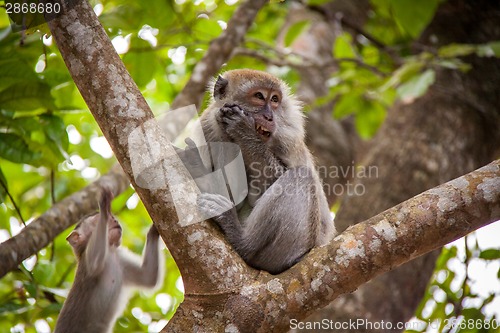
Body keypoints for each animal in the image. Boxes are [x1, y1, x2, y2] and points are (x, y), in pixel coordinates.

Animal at [55, 189, 163, 332]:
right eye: (96, 219)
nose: (114, 219)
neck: (109, 251)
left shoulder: (120, 260)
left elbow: (149, 277)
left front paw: (153, 230)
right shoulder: (86, 260)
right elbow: (95, 264)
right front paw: (104, 209)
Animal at [182, 68, 338, 274]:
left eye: (274, 99)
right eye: (258, 96)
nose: (269, 117)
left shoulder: (287, 137)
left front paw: (244, 132)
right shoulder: (208, 125)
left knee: (301, 177)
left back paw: (243, 242)